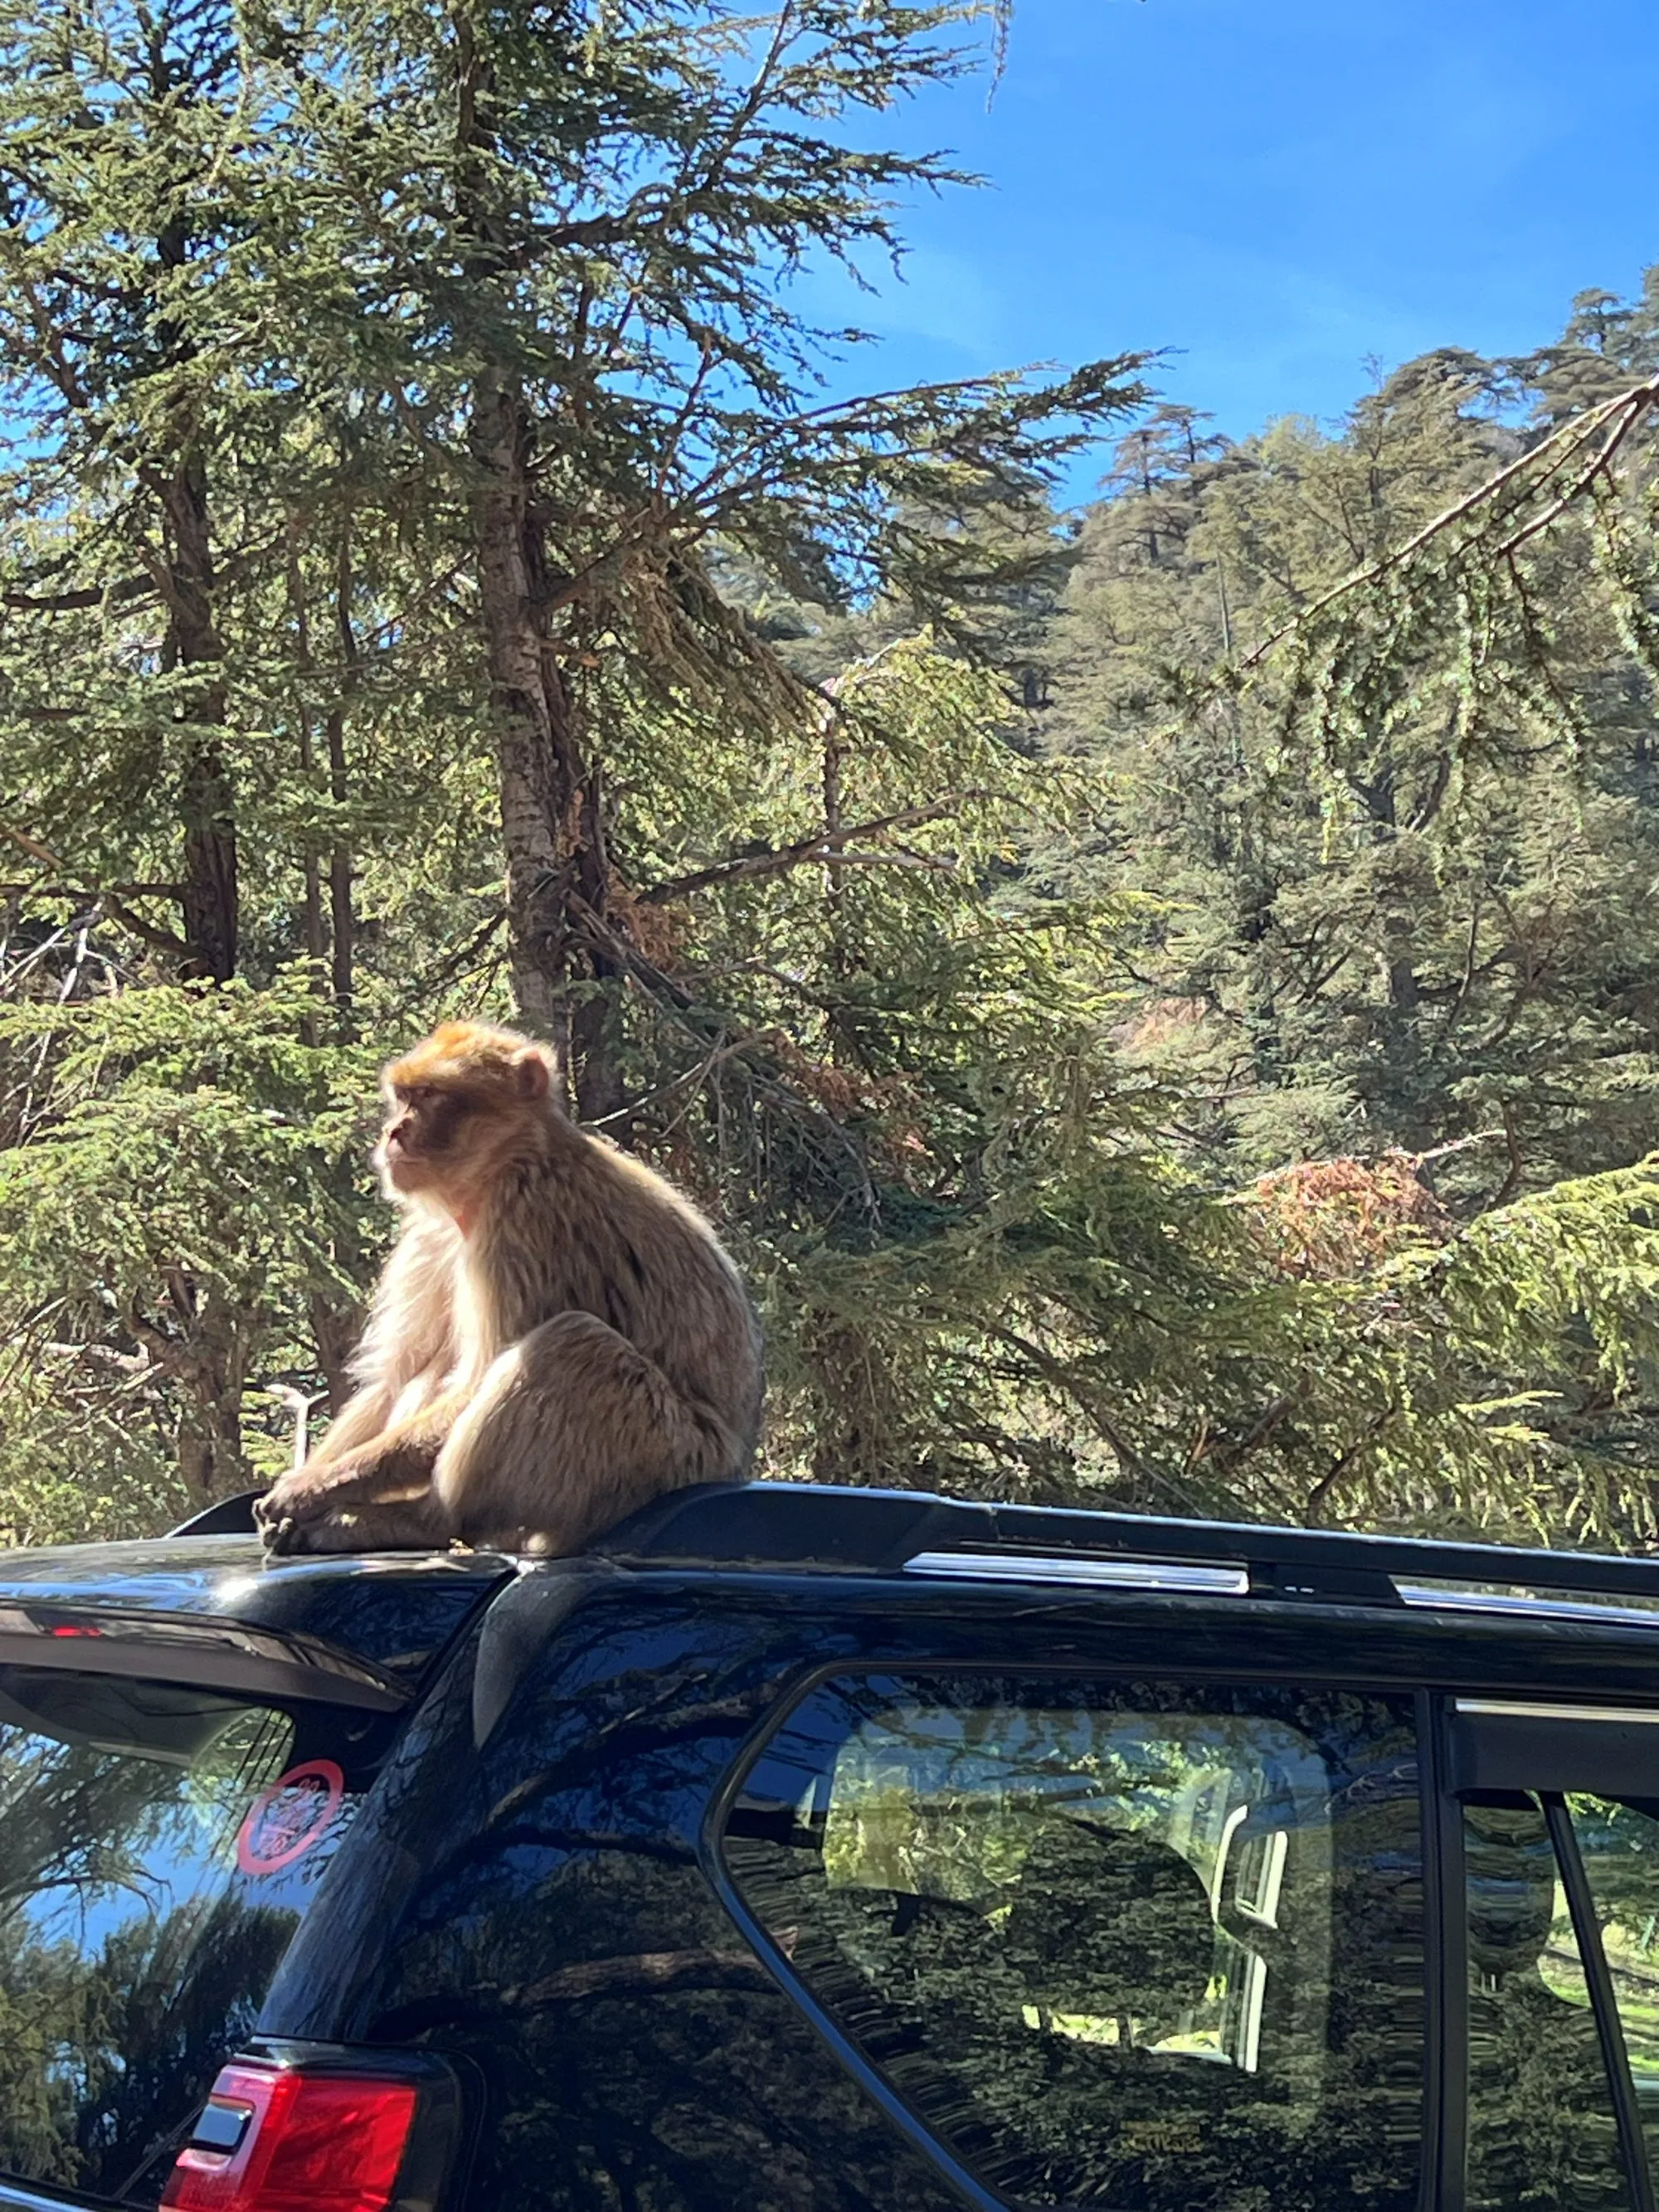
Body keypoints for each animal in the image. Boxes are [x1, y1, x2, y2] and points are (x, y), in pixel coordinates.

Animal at [254, 1020, 764, 1556]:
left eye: (431, 1096)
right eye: (405, 1097)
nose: (394, 1132)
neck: (501, 1170)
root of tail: (734, 1462)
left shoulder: (525, 1220)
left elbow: (479, 1376)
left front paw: (304, 1490)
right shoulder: (432, 1235)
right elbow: (394, 1377)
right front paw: (305, 1482)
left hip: (663, 1454)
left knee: (574, 1343)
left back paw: (425, 1520)